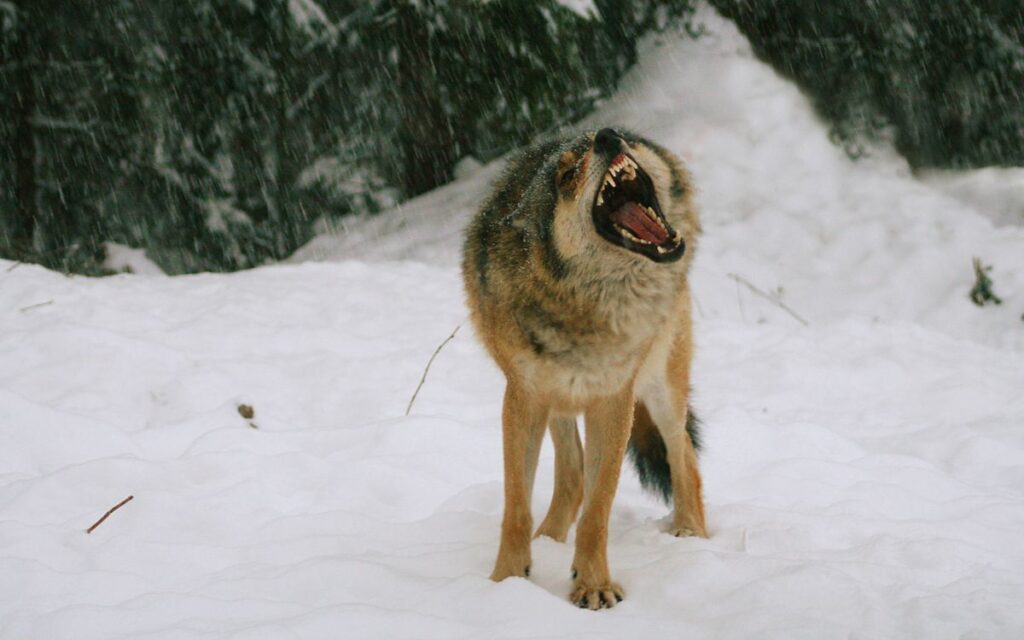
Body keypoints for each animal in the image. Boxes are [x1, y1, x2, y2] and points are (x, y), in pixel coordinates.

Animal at [462, 125, 704, 610]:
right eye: (568, 176)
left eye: (626, 138)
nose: (608, 137)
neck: (586, 308)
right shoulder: (522, 397)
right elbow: (517, 504)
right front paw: (507, 581)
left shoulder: (613, 401)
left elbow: (598, 509)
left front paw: (592, 584)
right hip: (558, 398)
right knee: (572, 475)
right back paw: (549, 539)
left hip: (661, 388)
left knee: (682, 452)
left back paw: (692, 533)